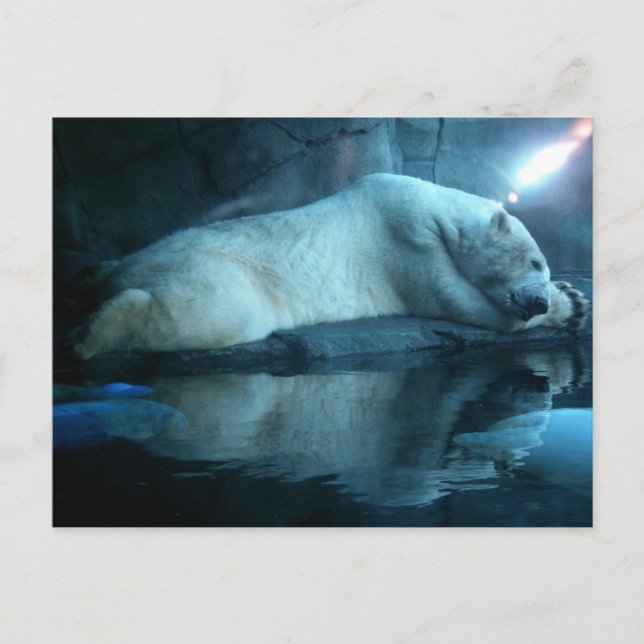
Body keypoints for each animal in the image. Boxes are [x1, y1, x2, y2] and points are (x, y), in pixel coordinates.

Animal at [66, 173, 588, 359]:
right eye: (535, 259)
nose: (538, 300)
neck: (438, 208)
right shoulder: (405, 236)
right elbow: (455, 301)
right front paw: (572, 306)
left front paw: (570, 297)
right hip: (222, 275)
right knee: (209, 314)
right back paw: (89, 335)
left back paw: (90, 280)